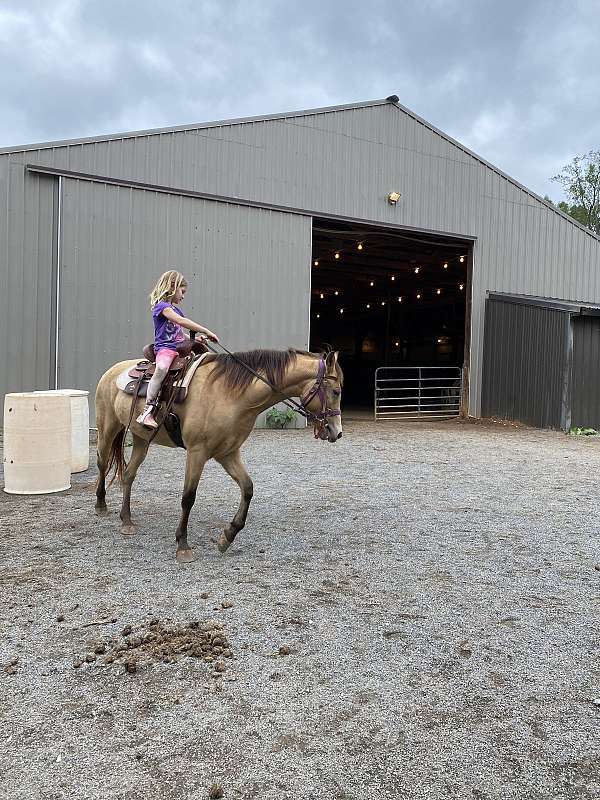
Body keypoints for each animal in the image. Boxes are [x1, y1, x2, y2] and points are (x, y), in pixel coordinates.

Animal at [94, 348, 342, 564]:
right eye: (336, 391)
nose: (337, 432)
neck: (229, 394)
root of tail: (112, 371)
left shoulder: (228, 453)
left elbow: (248, 488)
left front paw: (228, 536)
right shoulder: (197, 452)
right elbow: (188, 498)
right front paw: (183, 545)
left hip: (141, 439)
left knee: (128, 474)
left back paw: (126, 521)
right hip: (107, 428)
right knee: (102, 463)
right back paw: (101, 505)